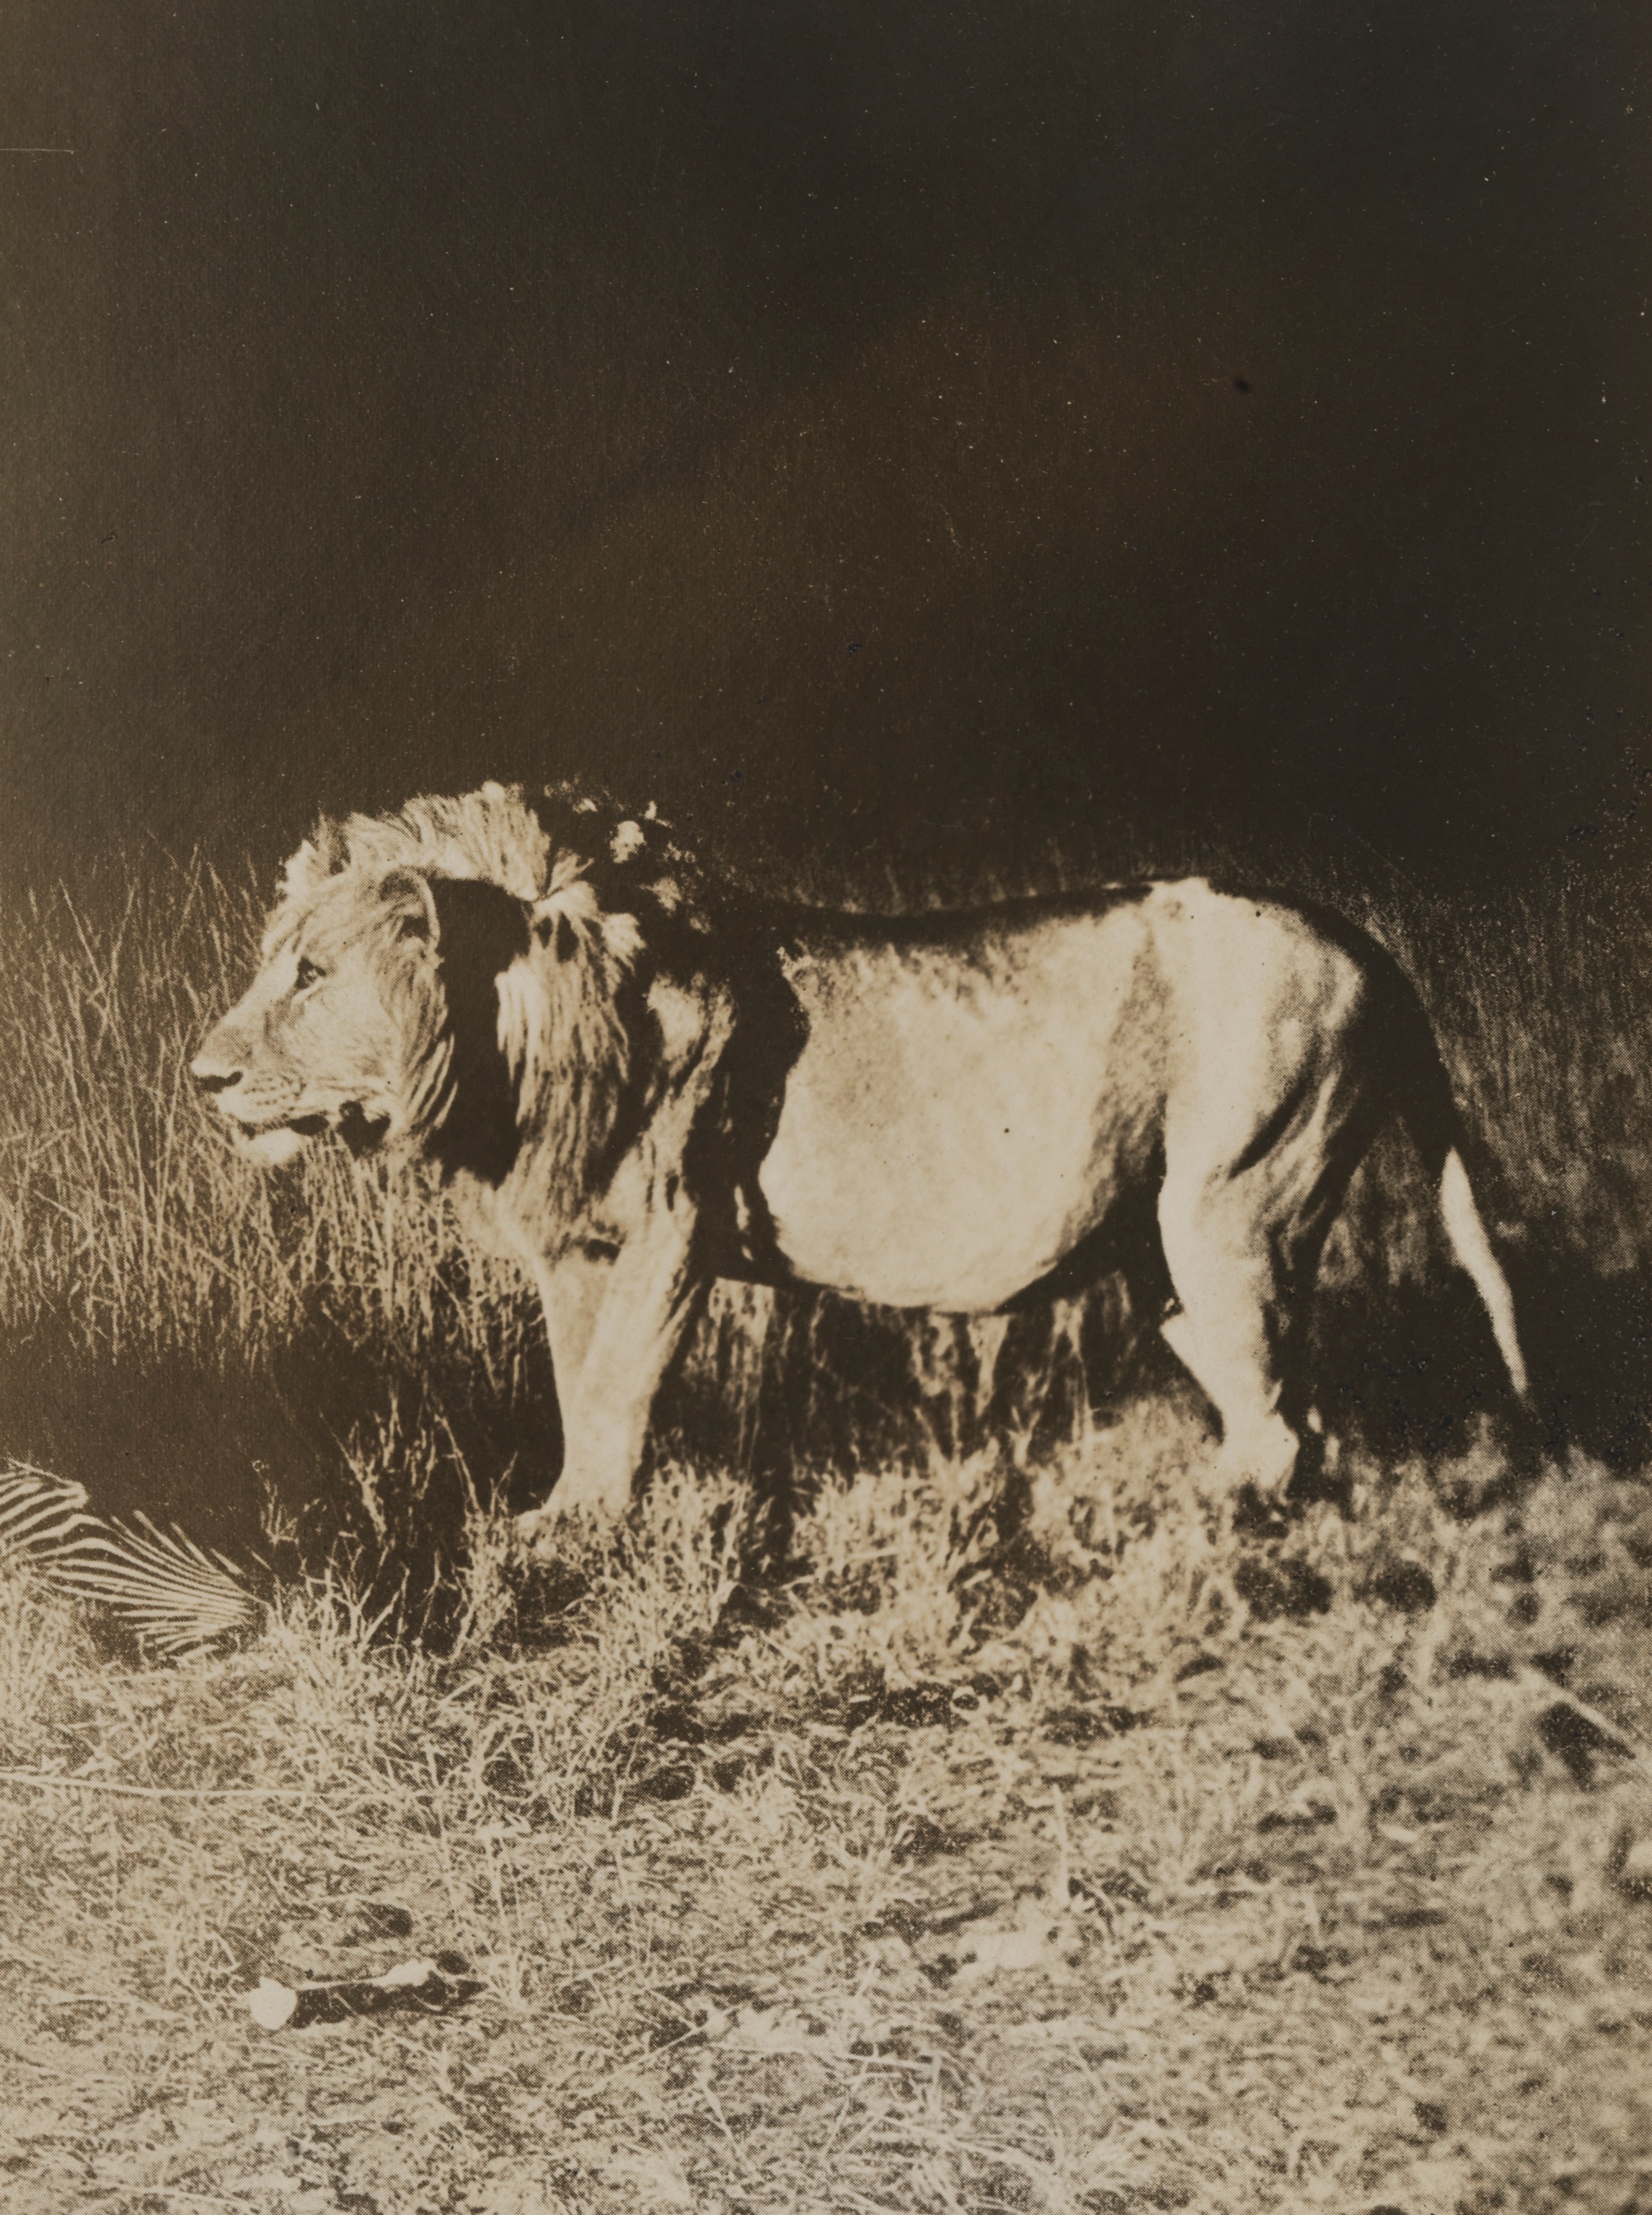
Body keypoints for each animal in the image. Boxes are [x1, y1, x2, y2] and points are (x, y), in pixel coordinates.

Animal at [191, 780, 1529, 1542]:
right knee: (1291, 1417)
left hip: (1233, 1207)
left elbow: (618, 1382)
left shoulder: (673, 1223)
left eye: (309, 974)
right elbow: (577, 1387)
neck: (517, 1035)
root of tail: (1362, 937)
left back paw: (1194, 1538)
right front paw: (563, 1512)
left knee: (1282, 1427)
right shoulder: (575, 1247)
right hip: (1168, 1249)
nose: (202, 1076)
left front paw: (582, 1537)